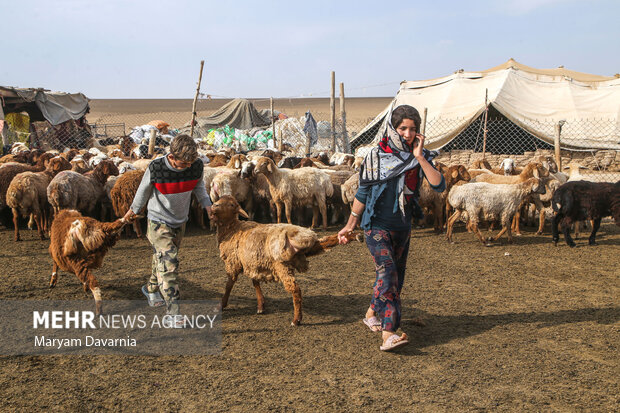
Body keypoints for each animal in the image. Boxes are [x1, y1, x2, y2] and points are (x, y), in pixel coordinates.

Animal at [211, 196, 356, 326]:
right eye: (219, 199)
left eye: (231, 205)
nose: (214, 206)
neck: (233, 229)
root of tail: (302, 236)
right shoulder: (253, 261)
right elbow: (255, 282)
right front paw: (261, 306)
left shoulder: (233, 262)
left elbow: (229, 285)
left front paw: (221, 305)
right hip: (308, 250)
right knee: (326, 242)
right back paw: (350, 235)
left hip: (282, 265)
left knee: (295, 289)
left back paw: (296, 320)